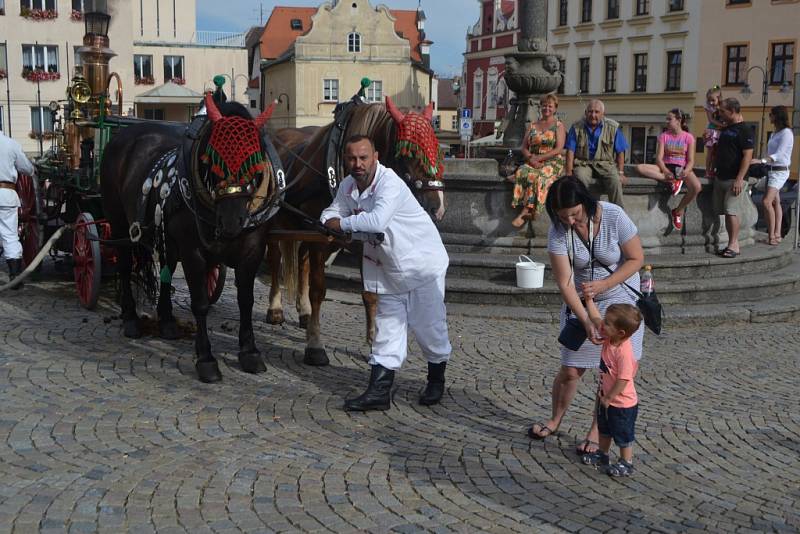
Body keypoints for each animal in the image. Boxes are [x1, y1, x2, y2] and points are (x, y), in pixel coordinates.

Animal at [99, 93, 282, 386]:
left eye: (255, 159)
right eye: (211, 159)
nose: (232, 221)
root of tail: (125, 135)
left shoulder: (252, 251)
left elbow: (246, 301)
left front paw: (250, 352)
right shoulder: (193, 252)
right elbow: (201, 303)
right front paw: (206, 359)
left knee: (166, 267)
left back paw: (166, 320)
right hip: (119, 225)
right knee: (125, 267)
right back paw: (130, 319)